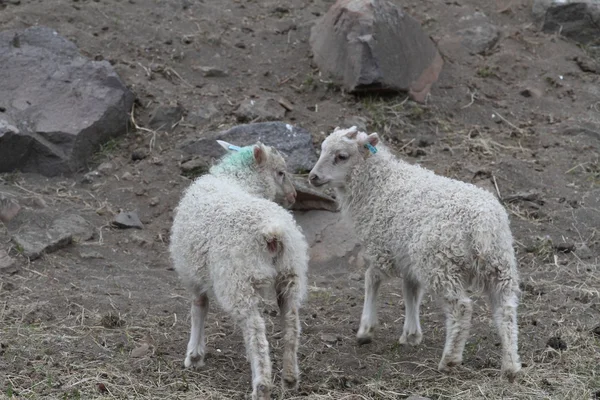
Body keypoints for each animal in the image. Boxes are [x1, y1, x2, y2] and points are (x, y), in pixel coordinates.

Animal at [169, 141, 310, 400]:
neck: (236, 179)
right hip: (291, 274)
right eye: (281, 172)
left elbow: (198, 308)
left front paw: (194, 355)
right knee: (292, 325)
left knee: (255, 331)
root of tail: (272, 231)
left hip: (237, 281)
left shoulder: (192, 275)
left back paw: (261, 385)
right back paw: (289, 378)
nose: (294, 196)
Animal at [308, 126, 524, 380]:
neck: (378, 184)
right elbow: (410, 290)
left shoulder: (381, 247)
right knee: (506, 310)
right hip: (499, 266)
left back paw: (450, 359)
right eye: (322, 149)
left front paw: (366, 329)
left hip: (442, 263)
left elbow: (372, 280)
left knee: (461, 309)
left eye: (341, 156)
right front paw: (411, 334)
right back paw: (510, 365)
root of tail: (482, 224)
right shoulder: (408, 257)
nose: (312, 177)